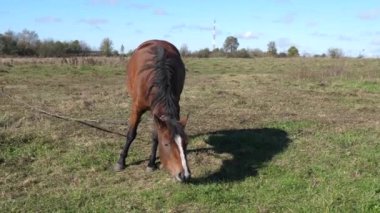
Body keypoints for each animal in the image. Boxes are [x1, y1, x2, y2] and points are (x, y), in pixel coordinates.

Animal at [113, 39, 190, 181]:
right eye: (166, 144)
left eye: (186, 143)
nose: (185, 175)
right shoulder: (137, 108)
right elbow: (130, 134)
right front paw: (121, 161)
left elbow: (155, 137)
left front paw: (151, 163)